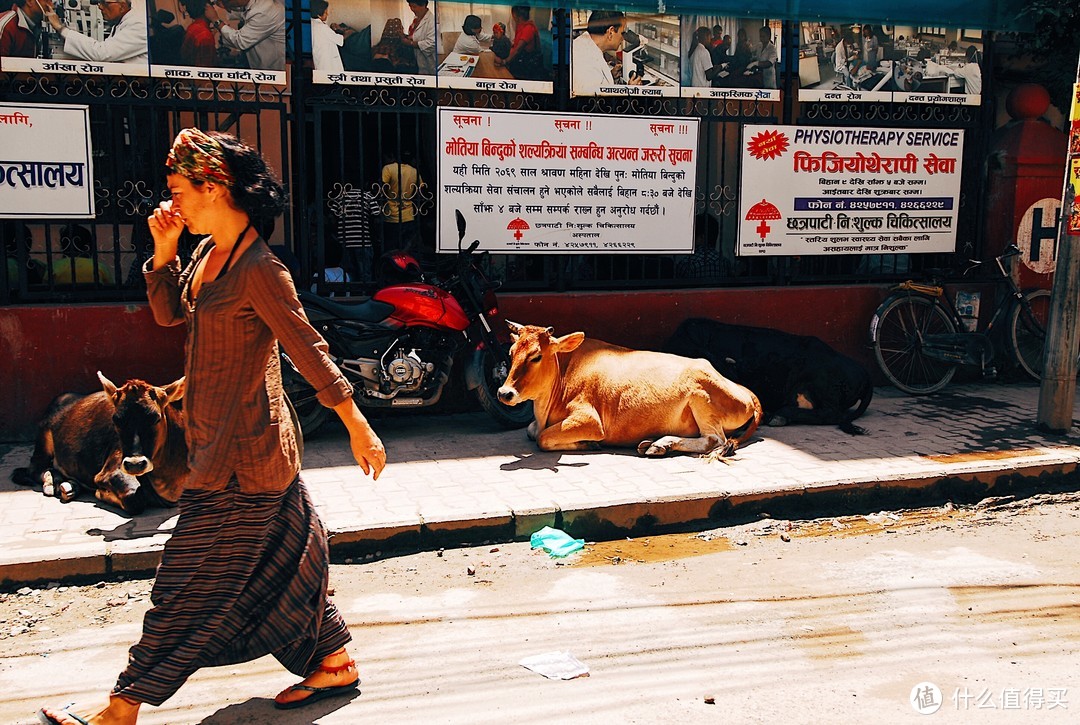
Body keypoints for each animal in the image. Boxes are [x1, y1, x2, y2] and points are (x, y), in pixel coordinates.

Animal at [13, 373, 186, 516]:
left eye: (156, 418)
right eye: (116, 420)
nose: (135, 464)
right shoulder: (110, 471)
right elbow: (133, 498)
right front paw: (101, 493)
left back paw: (69, 486)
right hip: (43, 440)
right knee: (35, 468)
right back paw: (53, 482)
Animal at [494, 324, 760, 460]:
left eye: (536, 356)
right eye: (511, 353)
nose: (505, 393)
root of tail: (747, 393)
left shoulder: (590, 420)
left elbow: (542, 438)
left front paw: (589, 444)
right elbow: (532, 431)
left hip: (700, 395)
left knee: (714, 440)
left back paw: (662, 445)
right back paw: (655, 444)